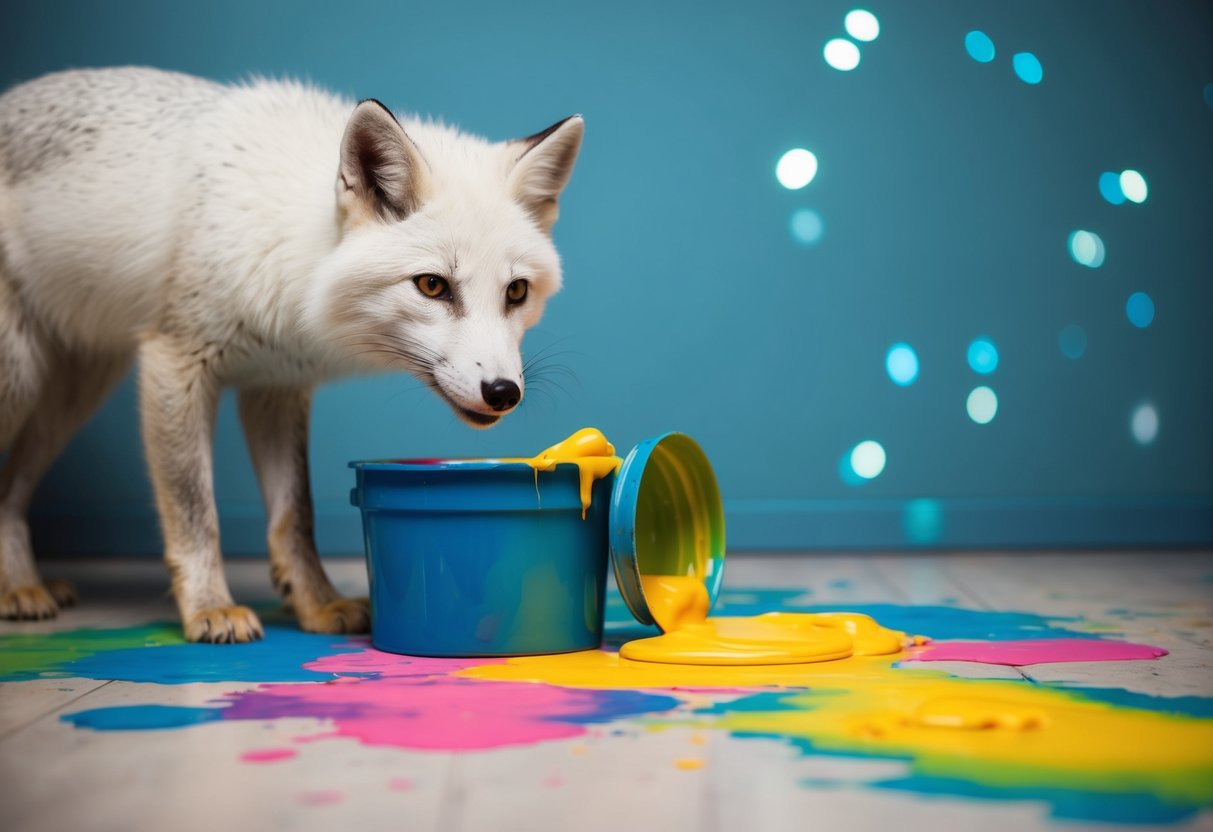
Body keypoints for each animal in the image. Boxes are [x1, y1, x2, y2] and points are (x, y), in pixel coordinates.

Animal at [0, 67, 584, 642]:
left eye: (516, 292)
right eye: (432, 285)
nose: (503, 393)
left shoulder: (275, 388)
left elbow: (295, 515)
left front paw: (317, 604)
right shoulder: (175, 360)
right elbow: (195, 509)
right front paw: (210, 607)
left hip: (73, 396)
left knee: (11, 488)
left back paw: (22, 585)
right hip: (22, 381)